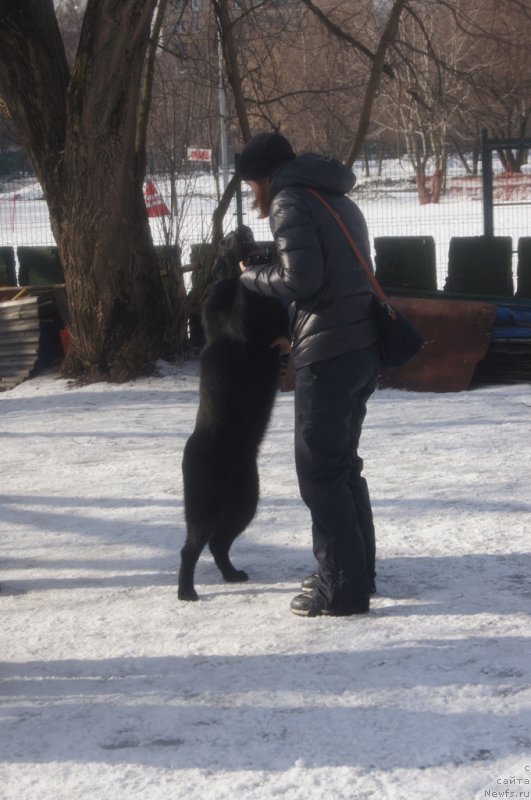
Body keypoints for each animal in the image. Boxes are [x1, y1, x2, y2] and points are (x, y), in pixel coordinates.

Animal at [178, 225, 290, 600]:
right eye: (225, 241)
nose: (241, 229)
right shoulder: (235, 326)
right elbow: (243, 294)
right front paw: (250, 268)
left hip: (244, 503)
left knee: (217, 544)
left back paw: (231, 574)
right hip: (206, 505)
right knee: (191, 548)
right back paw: (186, 592)